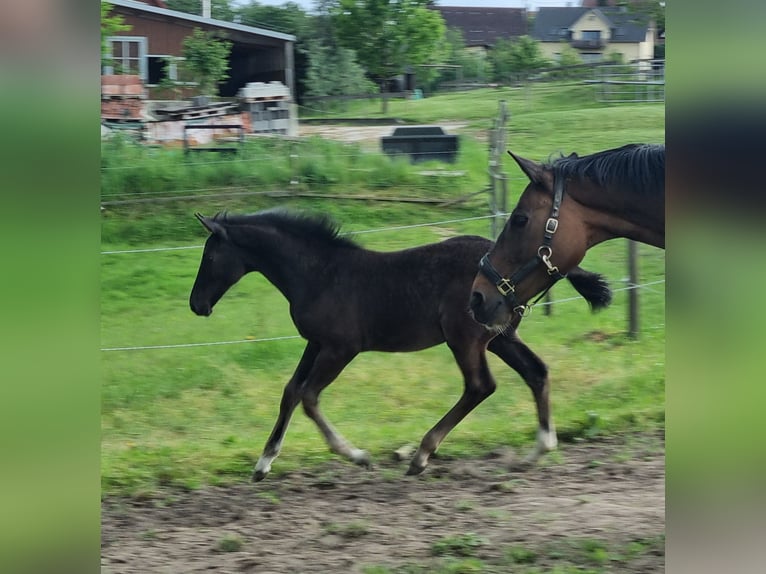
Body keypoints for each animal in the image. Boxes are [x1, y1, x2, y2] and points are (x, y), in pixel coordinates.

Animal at [190, 208, 612, 482]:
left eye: (210, 256)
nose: (197, 304)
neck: (319, 273)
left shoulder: (341, 348)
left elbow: (309, 397)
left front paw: (358, 456)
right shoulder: (316, 343)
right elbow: (291, 392)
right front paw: (263, 463)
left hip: (465, 338)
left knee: (480, 386)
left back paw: (422, 454)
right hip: (500, 337)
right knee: (535, 372)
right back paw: (538, 449)